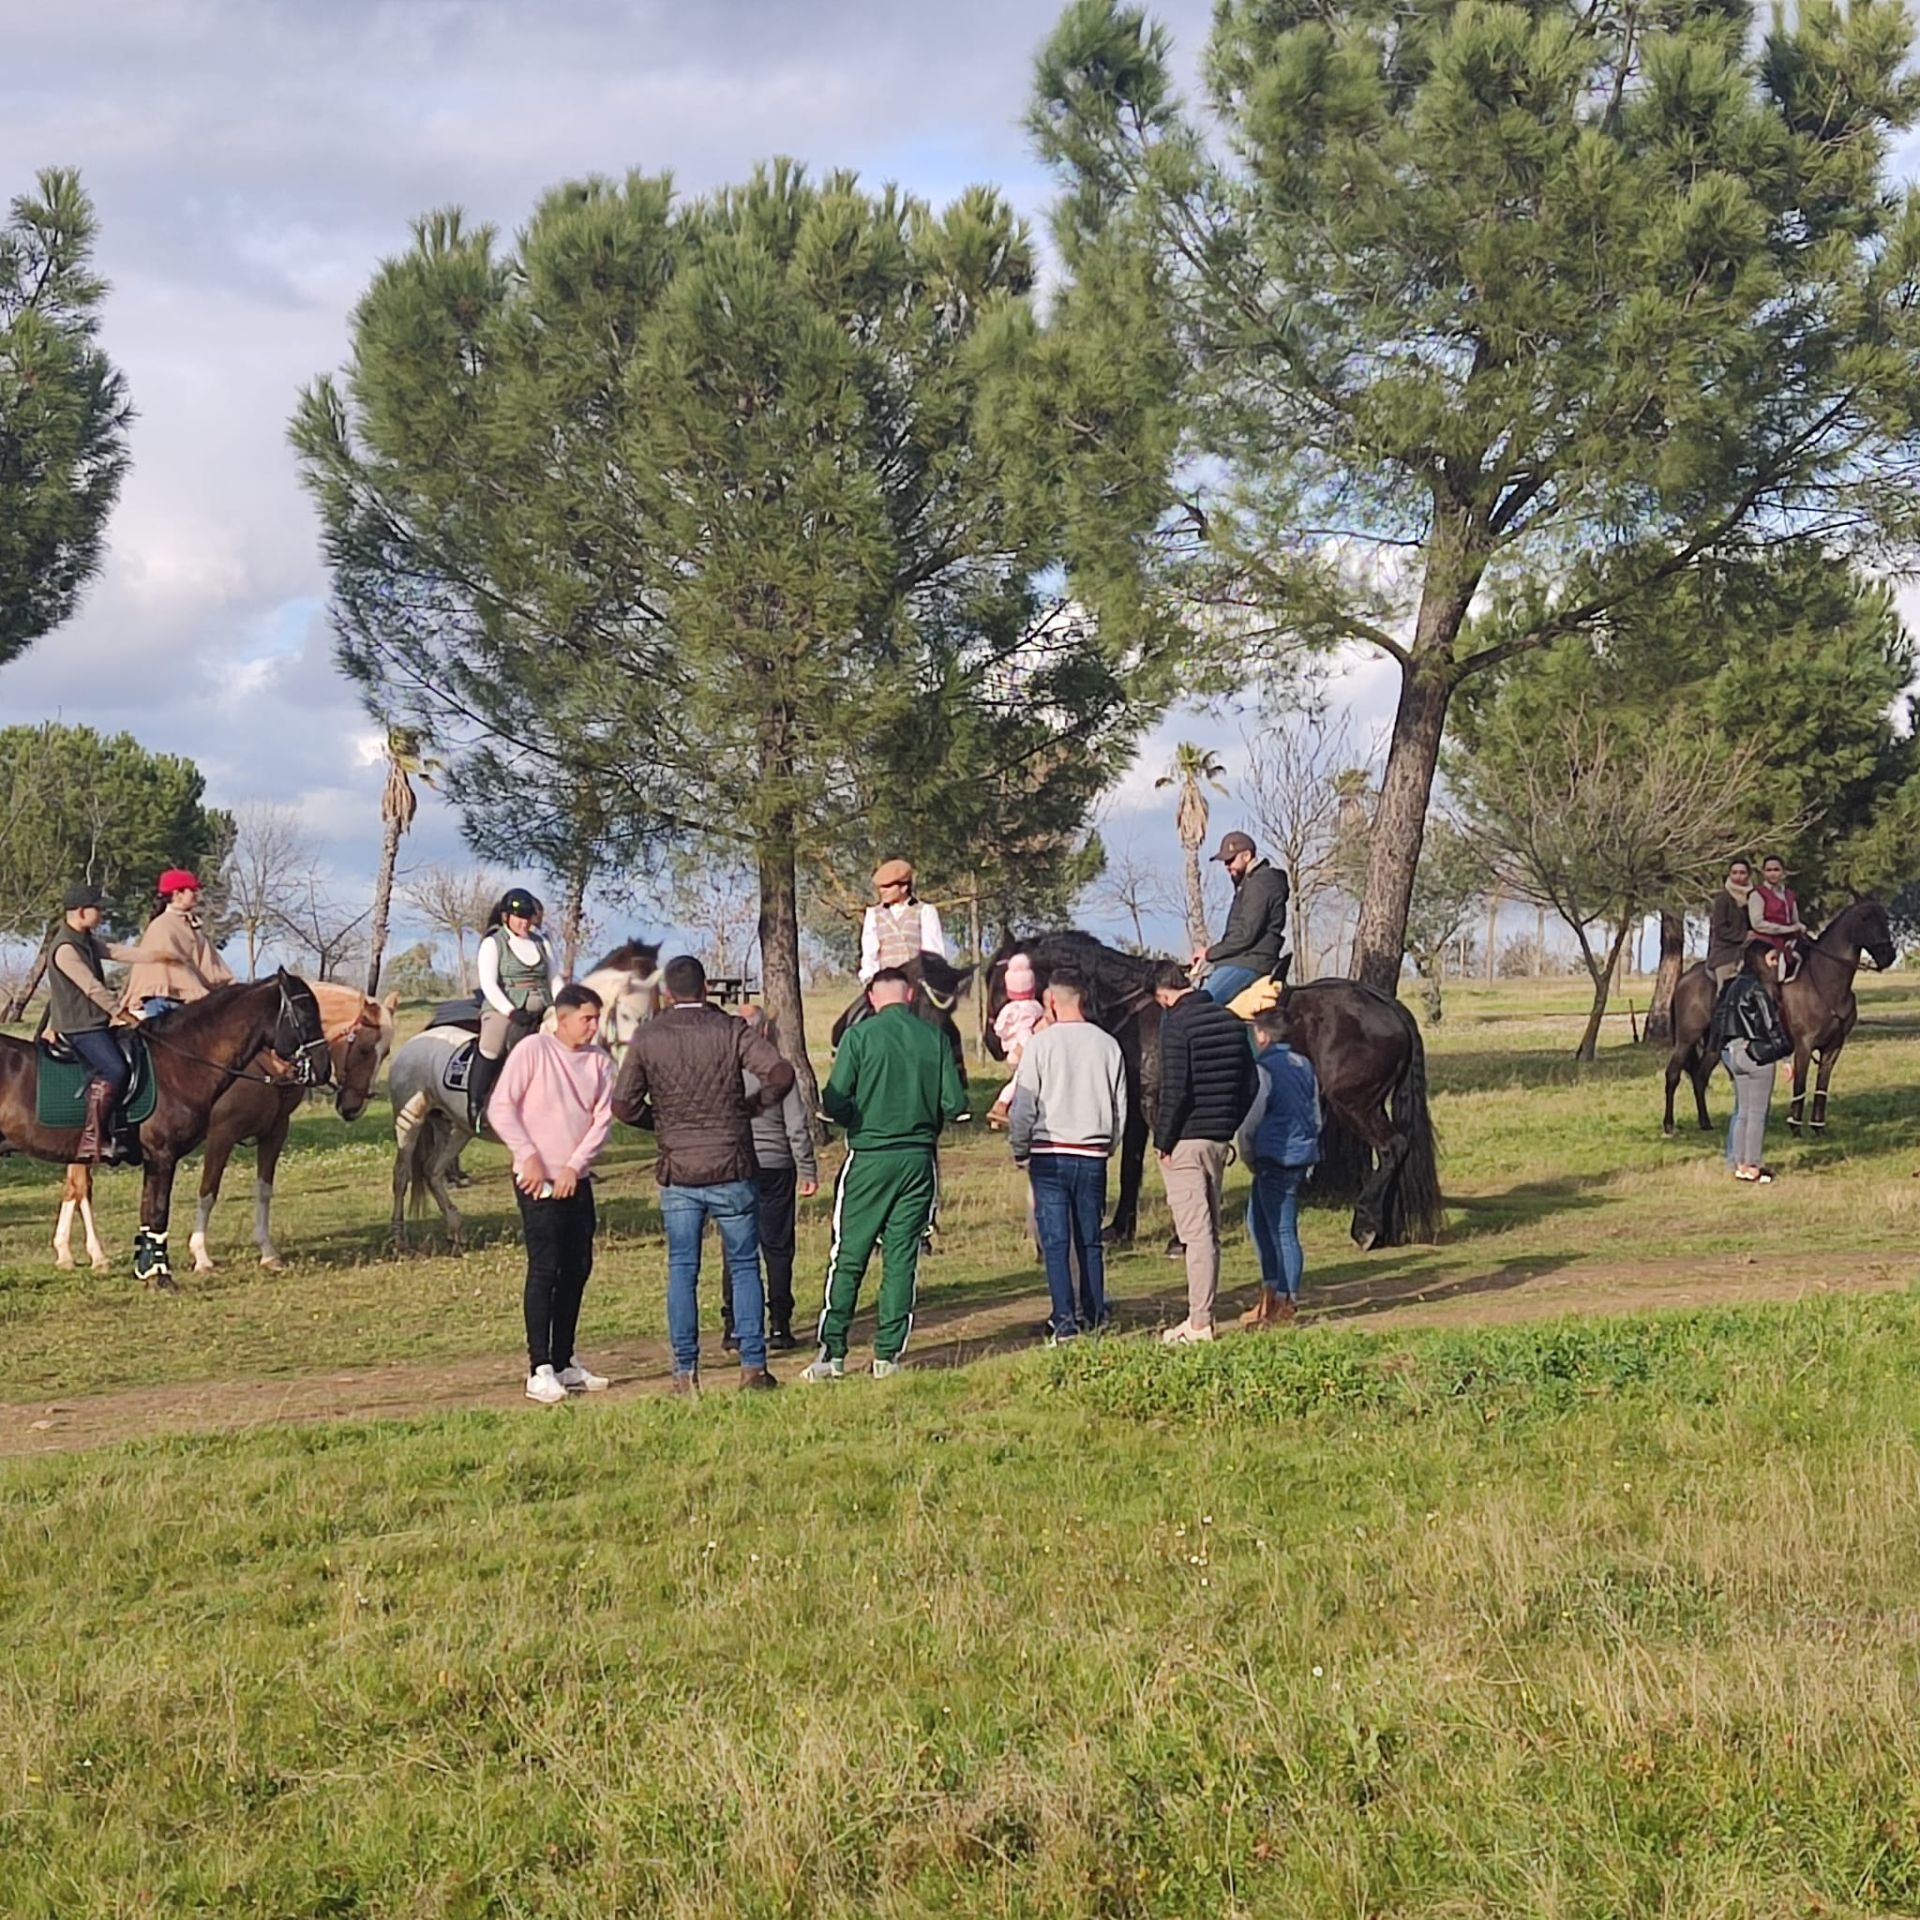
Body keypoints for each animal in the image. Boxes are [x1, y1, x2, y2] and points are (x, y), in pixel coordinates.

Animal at [0, 975, 330, 1290]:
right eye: (305, 1013)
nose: (323, 1069)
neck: (176, 1063)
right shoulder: (165, 1155)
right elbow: (160, 1213)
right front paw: (162, 1276)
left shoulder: (159, 1159)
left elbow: (148, 1214)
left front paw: (148, 1272)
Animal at [54, 983, 397, 1282]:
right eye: (364, 1048)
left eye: (387, 1052)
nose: (353, 1107)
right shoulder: (222, 1133)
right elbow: (208, 1191)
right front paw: (201, 1255)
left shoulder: (275, 1132)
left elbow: (264, 1189)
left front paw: (268, 1252)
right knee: (81, 1187)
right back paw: (97, 1255)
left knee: (74, 1188)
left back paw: (67, 1253)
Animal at [990, 933, 1443, 1259]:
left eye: (1005, 984)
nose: (993, 1044)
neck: (1142, 1013)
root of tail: (1386, 1004)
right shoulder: (1138, 1107)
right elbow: (1132, 1167)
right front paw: (1119, 1229)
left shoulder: (1163, 1109)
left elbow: (1173, 1165)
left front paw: (1179, 1238)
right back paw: (1385, 1226)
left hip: (1355, 1103)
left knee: (1392, 1147)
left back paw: (1366, 1225)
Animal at [1658, 898, 1896, 1136]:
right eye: (1865, 918)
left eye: (1885, 917)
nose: (1889, 955)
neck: (1825, 980)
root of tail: (1685, 978)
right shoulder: (1804, 1045)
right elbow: (1800, 1083)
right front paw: (1795, 1127)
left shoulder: (1833, 1047)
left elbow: (1822, 1086)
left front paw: (1818, 1128)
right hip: (1686, 1039)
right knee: (1673, 1074)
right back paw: (1669, 1125)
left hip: (1714, 1045)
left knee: (1700, 1077)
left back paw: (1705, 1122)